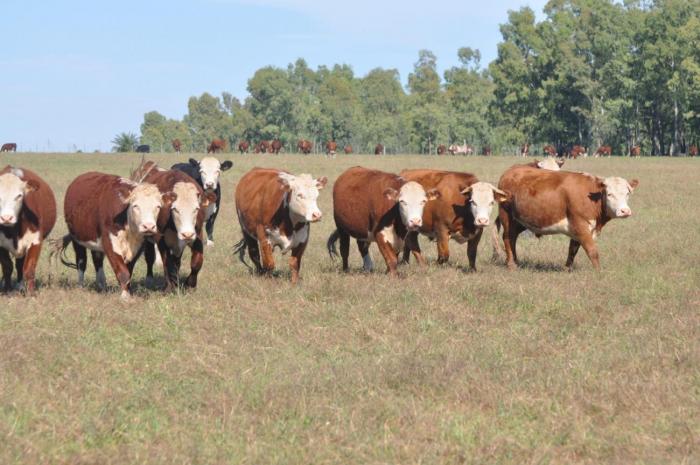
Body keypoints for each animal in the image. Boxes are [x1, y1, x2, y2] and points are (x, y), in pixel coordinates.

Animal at [57, 172, 175, 300]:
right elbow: (123, 272)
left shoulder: (137, 247)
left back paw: (102, 284)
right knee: (81, 261)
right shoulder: (110, 243)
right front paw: (124, 297)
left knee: (97, 260)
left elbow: (129, 270)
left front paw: (128, 291)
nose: (148, 226)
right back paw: (81, 286)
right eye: (135, 206)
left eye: (158, 206)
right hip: (77, 239)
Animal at [494, 164, 636, 270]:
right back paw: (511, 264)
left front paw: (567, 268)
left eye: (627, 193)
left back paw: (515, 261)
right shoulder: (581, 225)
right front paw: (598, 272)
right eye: (610, 194)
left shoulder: (577, 229)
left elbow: (572, 249)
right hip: (506, 216)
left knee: (513, 238)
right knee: (507, 237)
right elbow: (592, 251)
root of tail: (510, 170)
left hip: (520, 221)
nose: (624, 211)